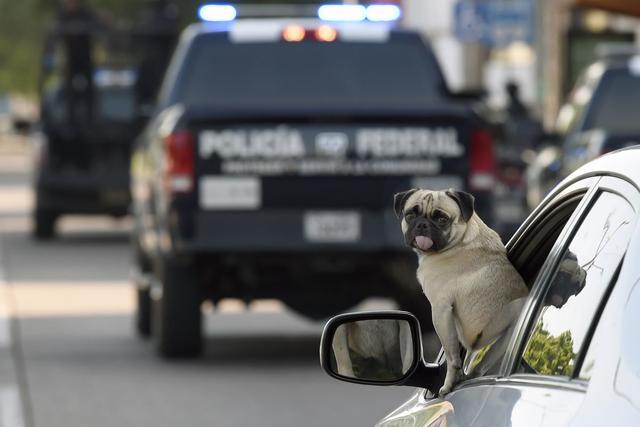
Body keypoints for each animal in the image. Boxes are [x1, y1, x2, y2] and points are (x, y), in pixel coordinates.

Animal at [396, 189, 528, 396]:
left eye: (442, 219)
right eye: (410, 215)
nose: (422, 224)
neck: (461, 240)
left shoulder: (440, 310)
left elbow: (453, 358)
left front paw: (447, 385)